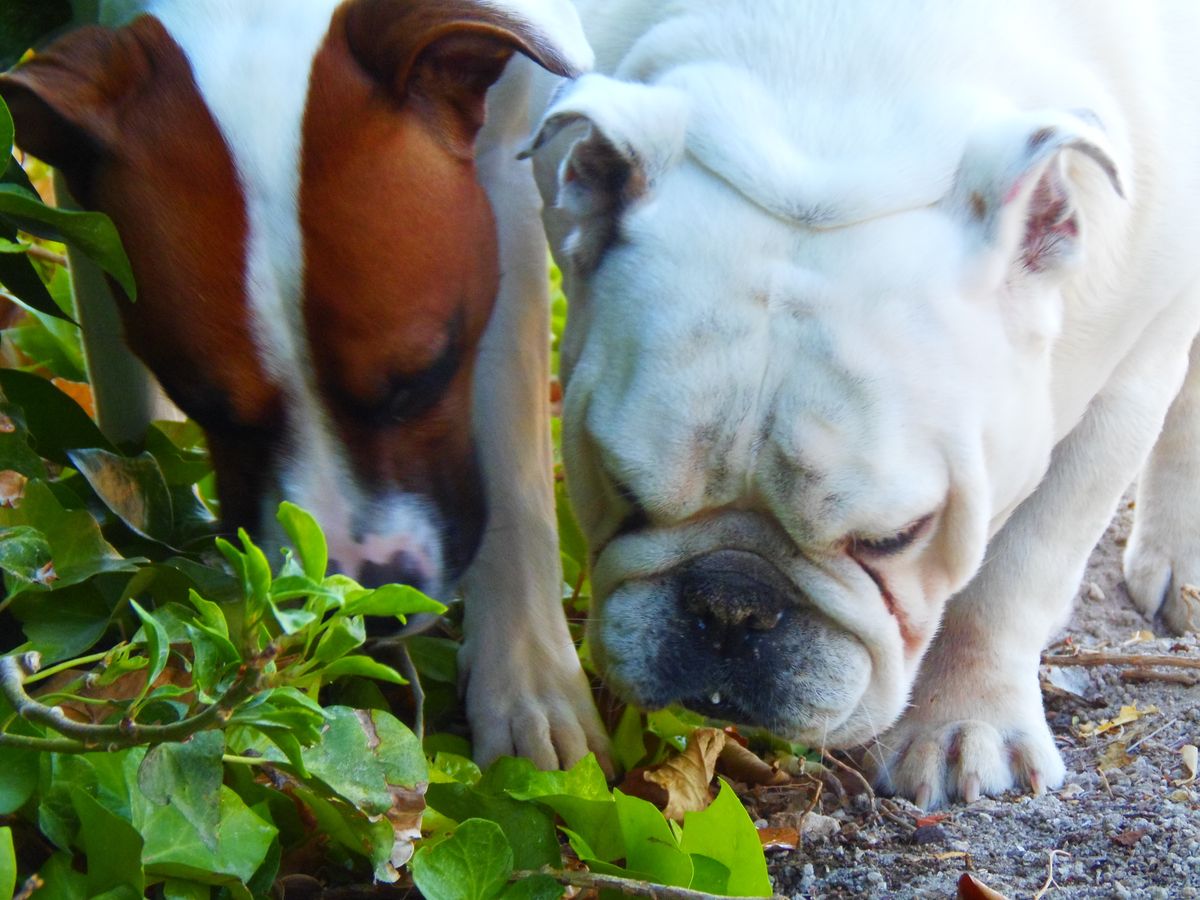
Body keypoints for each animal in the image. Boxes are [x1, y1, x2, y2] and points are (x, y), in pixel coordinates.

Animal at [2, 0, 609, 772]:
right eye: (208, 406)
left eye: (426, 376)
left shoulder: (503, 162)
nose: (364, 596)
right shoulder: (88, 212)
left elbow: (514, 473)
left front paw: (528, 685)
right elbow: (124, 400)